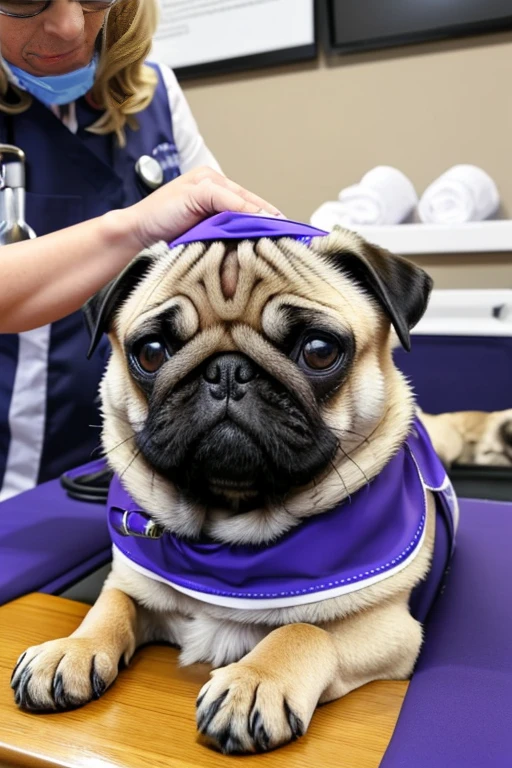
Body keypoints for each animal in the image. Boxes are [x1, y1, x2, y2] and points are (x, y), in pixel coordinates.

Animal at [9, 219, 512, 752]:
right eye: (150, 353)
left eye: (319, 351)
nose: (227, 370)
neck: (229, 533)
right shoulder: (131, 586)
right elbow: (110, 607)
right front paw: (70, 648)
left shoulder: (392, 631)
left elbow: (305, 631)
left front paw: (255, 681)